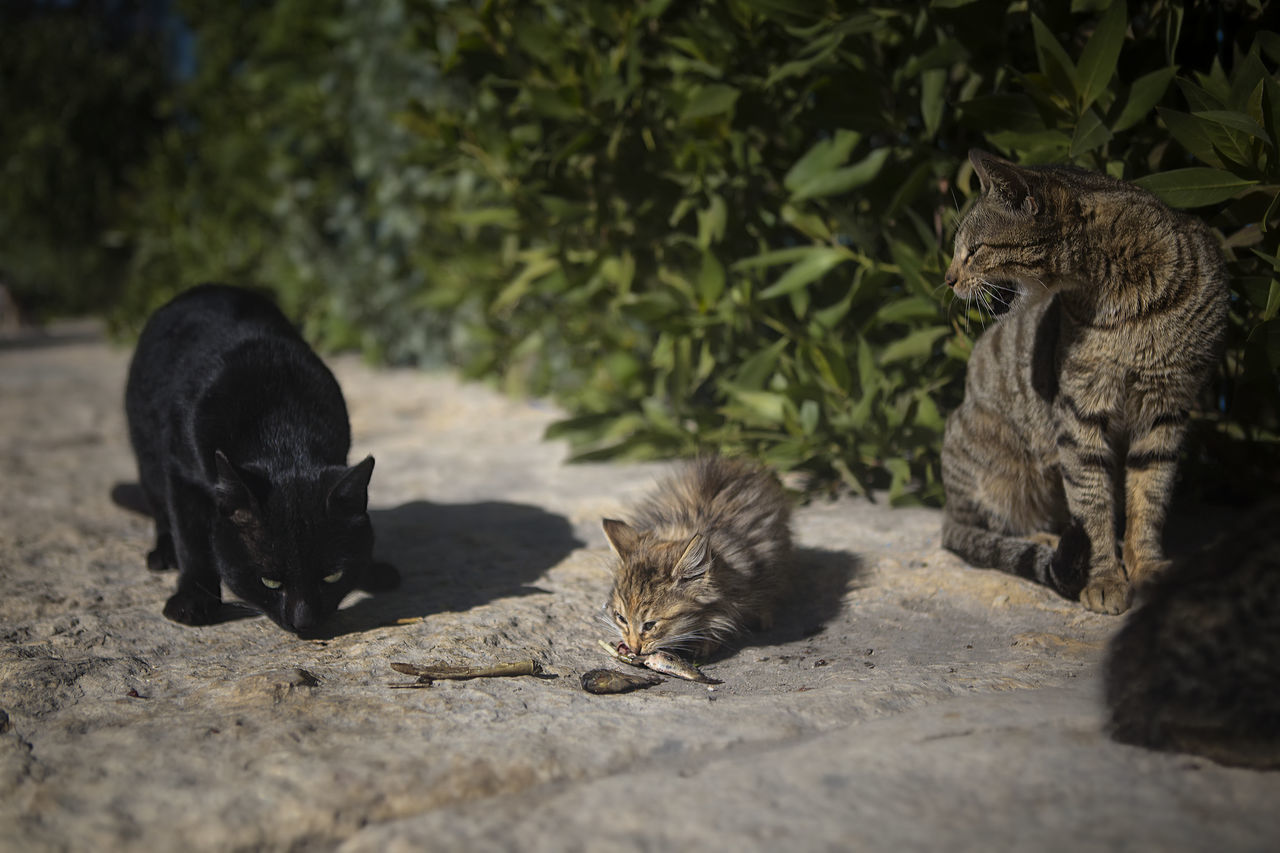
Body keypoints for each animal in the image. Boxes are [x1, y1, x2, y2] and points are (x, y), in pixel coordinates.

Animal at [125, 281, 396, 627]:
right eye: (269, 582)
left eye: (333, 577)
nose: (304, 622)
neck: (282, 430)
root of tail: (205, 288)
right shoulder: (181, 472)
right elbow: (191, 538)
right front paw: (192, 599)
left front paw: (372, 571)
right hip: (147, 454)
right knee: (161, 508)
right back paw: (164, 553)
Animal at [942, 147, 1228, 612]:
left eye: (974, 250)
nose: (947, 279)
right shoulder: (1080, 410)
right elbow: (1092, 505)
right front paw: (1105, 578)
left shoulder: (1166, 408)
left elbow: (1148, 498)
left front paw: (1146, 566)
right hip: (988, 462)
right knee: (993, 528)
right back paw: (1046, 539)